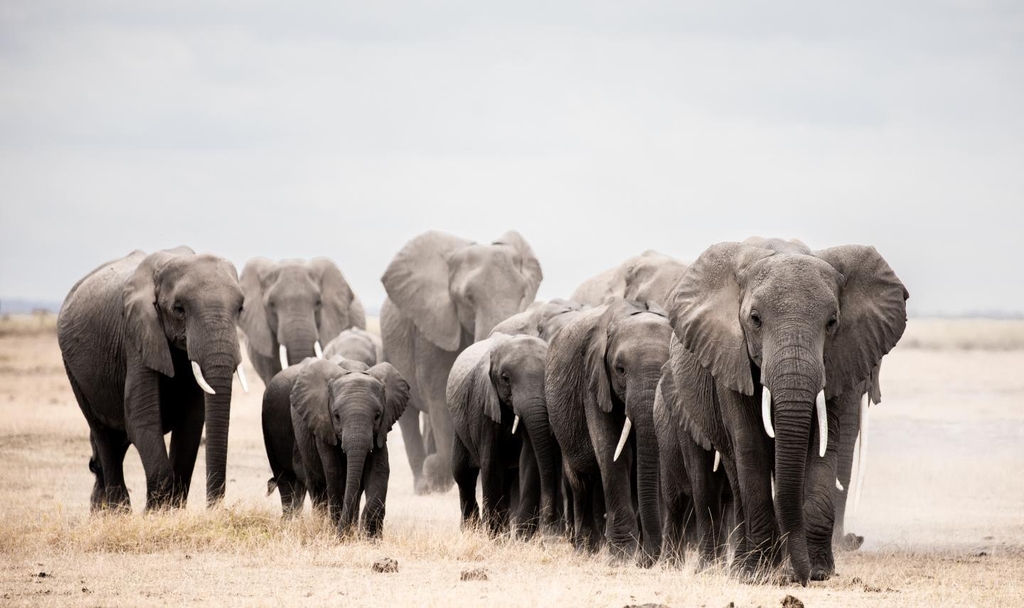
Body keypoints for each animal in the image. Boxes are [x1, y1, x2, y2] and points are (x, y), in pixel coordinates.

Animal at [58, 248, 247, 509]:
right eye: (179, 309)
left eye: (240, 309)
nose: (214, 509)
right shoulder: (136, 335)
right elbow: (142, 418)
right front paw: (155, 512)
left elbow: (191, 422)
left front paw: (171, 511)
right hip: (73, 370)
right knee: (104, 436)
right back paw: (118, 511)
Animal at [260, 354, 407, 536]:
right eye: (336, 415)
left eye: (377, 415)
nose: (341, 534)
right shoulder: (323, 425)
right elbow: (335, 472)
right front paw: (339, 533)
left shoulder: (381, 431)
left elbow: (379, 470)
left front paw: (370, 538)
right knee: (309, 484)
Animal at [444, 331, 552, 536]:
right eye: (505, 379)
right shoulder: (482, 404)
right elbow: (491, 462)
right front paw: (493, 536)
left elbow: (530, 459)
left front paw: (522, 537)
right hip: (459, 427)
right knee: (463, 474)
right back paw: (471, 530)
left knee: (508, 479)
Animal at [544, 296, 671, 565]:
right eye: (620, 370)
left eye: (668, 366)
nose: (647, 561)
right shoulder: (593, 381)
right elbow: (612, 451)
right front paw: (622, 557)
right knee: (581, 480)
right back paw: (585, 548)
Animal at [667, 236, 909, 581]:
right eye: (755, 319)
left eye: (832, 322)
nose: (799, 576)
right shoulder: (731, 360)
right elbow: (750, 445)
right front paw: (758, 573)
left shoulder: (838, 363)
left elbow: (823, 447)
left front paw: (819, 571)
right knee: (735, 470)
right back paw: (743, 566)